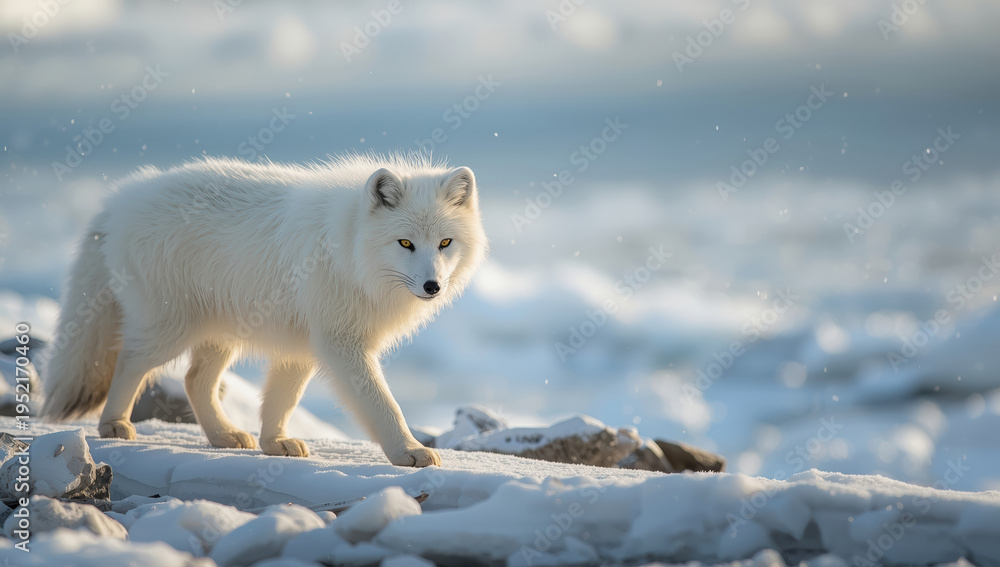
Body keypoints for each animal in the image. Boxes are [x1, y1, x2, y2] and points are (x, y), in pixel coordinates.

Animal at [42, 154, 488, 467]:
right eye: (405, 243)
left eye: (445, 243)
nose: (433, 287)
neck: (348, 248)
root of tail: (121, 198)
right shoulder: (341, 343)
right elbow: (383, 403)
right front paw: (407, 451)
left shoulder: (302, 346)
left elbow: (282, 399)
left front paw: (274, 443)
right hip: (169, 330)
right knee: (130, 361)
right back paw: (113, 425)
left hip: (219, 335)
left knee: (194, 380)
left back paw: (223, 437)